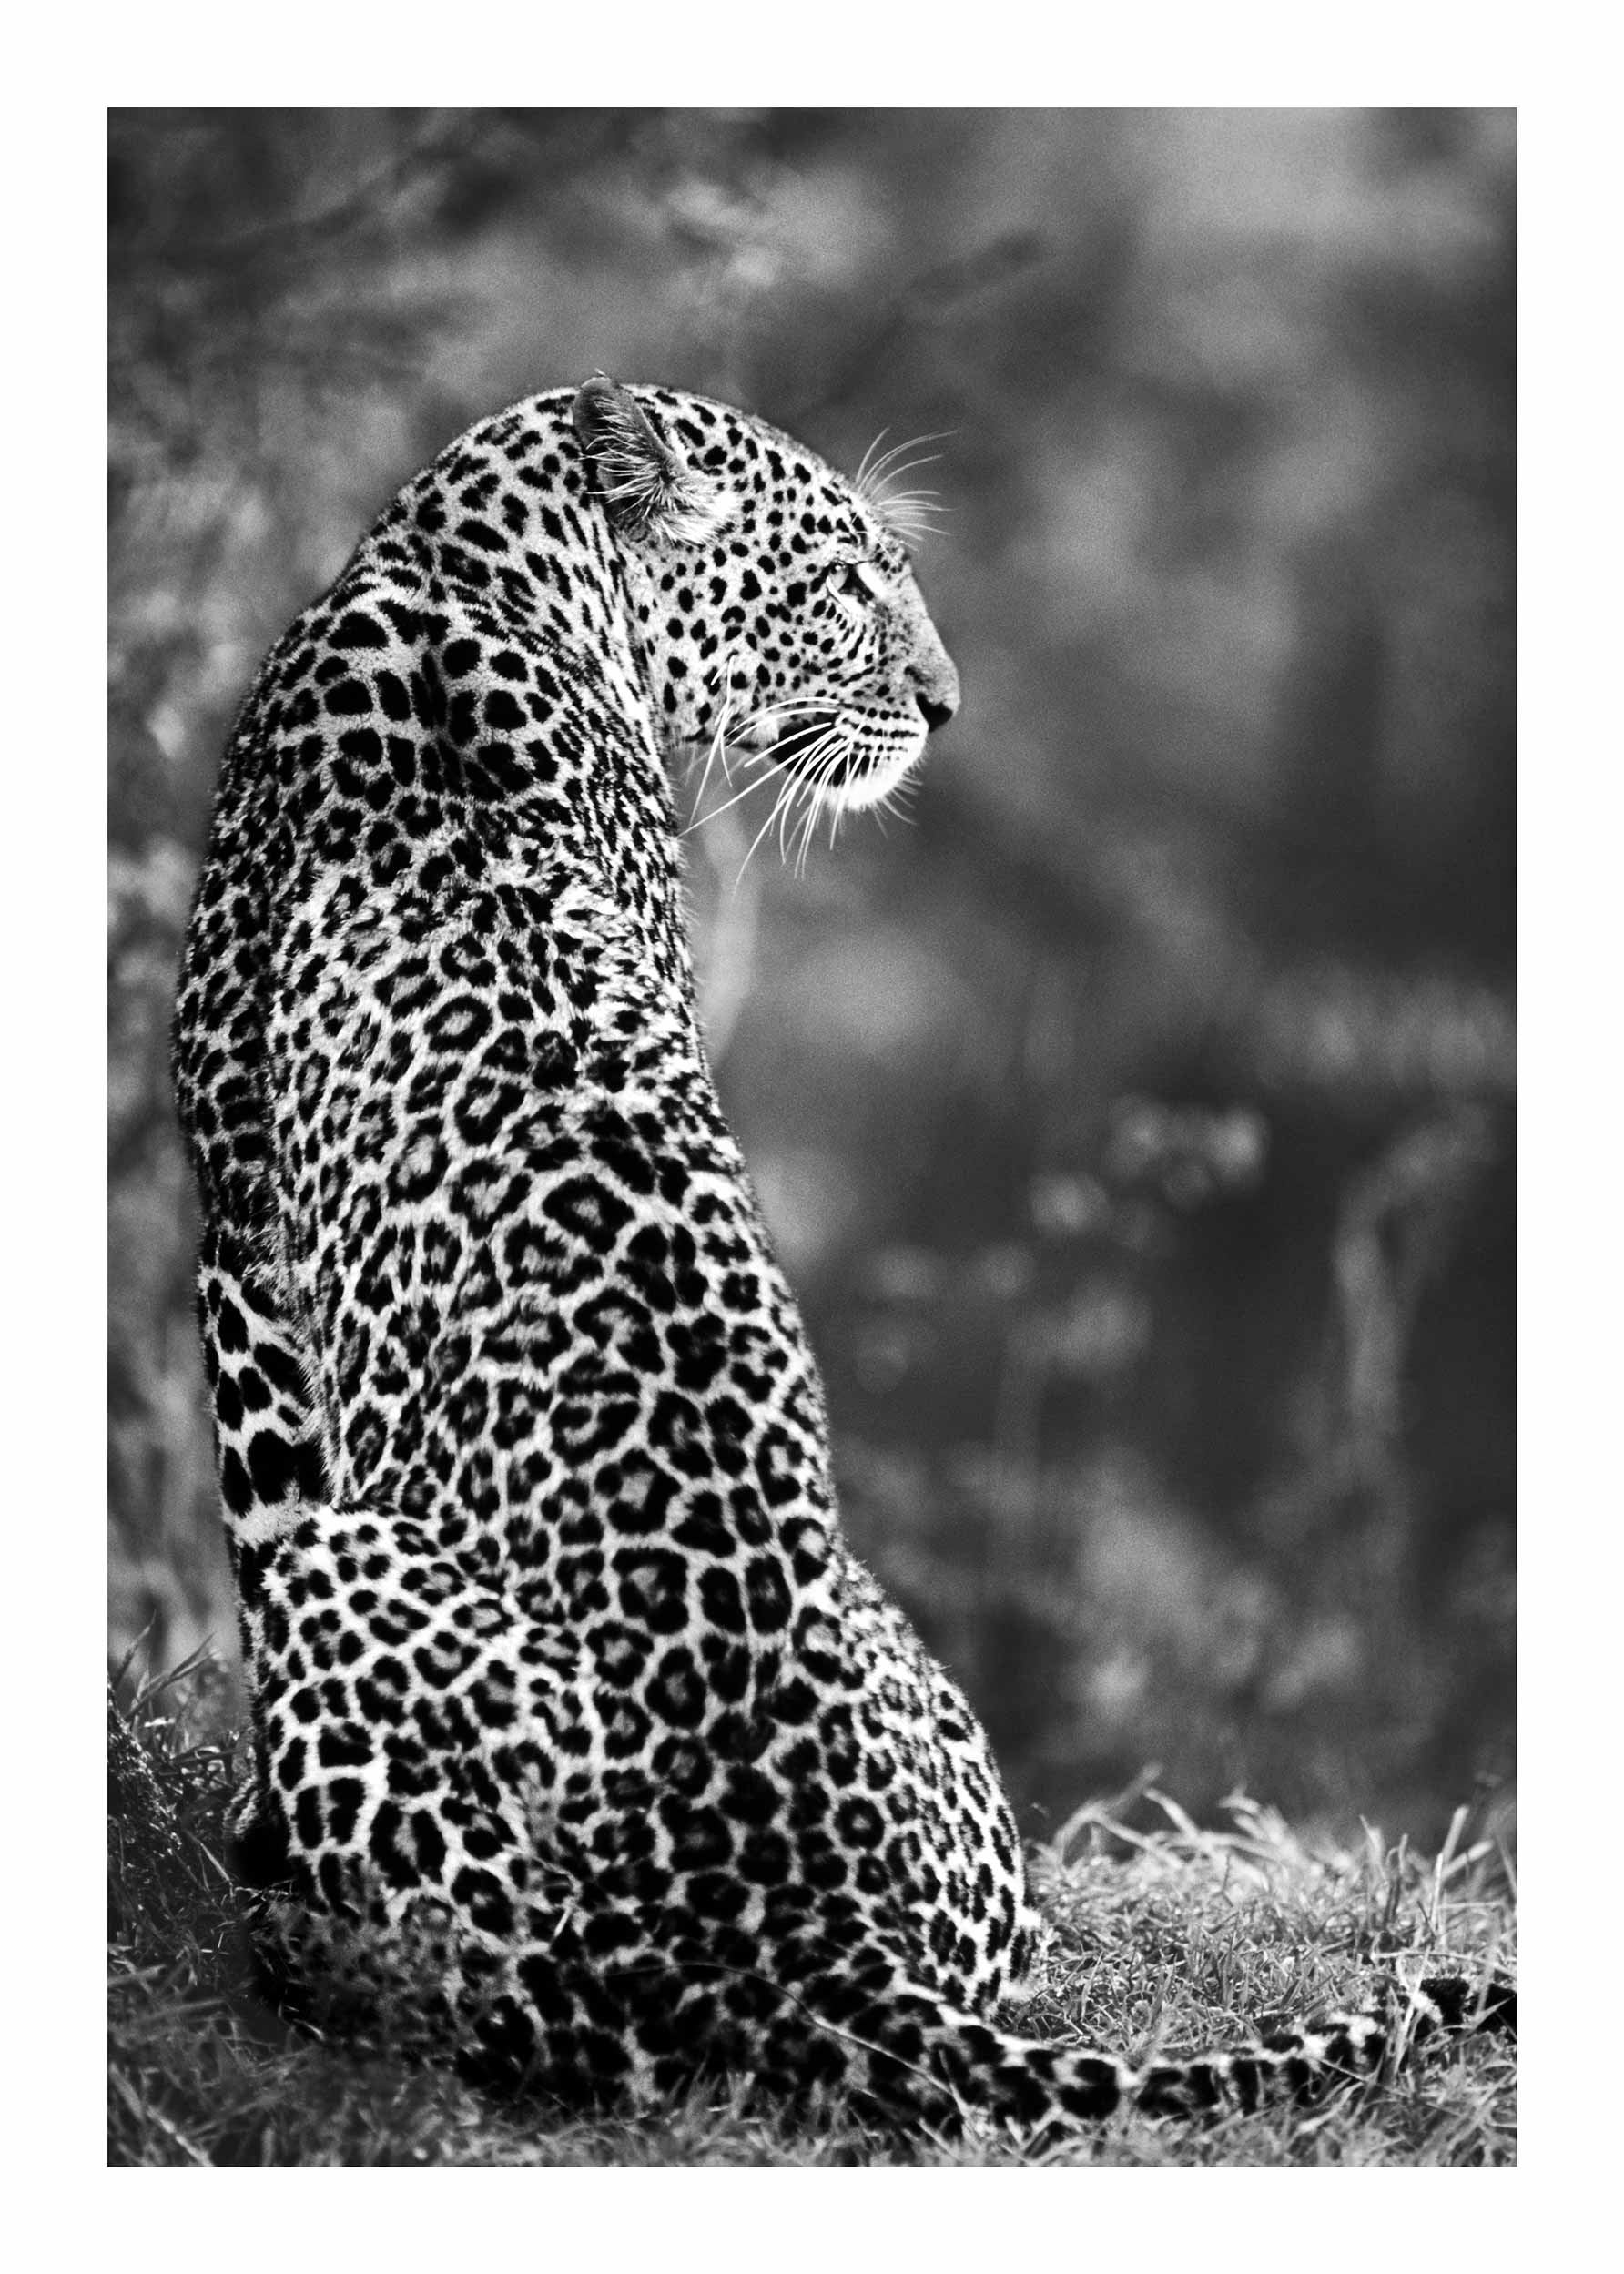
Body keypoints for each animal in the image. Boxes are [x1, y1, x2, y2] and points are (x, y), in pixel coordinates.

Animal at [172, 374, 1512, 2133]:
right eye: (845, 581)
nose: (947, 707)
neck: (466, 565)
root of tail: (821, 1933)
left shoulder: (235, 1219)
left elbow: (255, 1513)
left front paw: (249, 1822)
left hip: (387, 1620)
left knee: (505, 1997)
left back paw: (307, 1947)